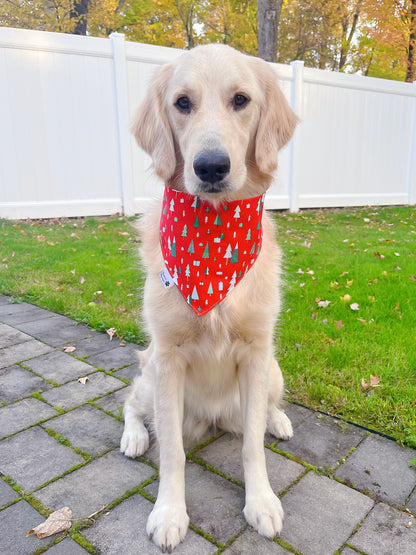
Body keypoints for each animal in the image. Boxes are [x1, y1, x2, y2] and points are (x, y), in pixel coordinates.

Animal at [122, 45, 298, 552]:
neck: (213, 243)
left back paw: (278, 420)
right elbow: (173, 453)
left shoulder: (257, 354)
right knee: (131, 404)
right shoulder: (168, 359)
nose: (212, 167)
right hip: (150, 374)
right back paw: (134, 437)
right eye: (182, 103)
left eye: (241, 100)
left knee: (262, 414)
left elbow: (252, 445)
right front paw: (168, 512)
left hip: (273, 372)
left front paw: (261, 503)